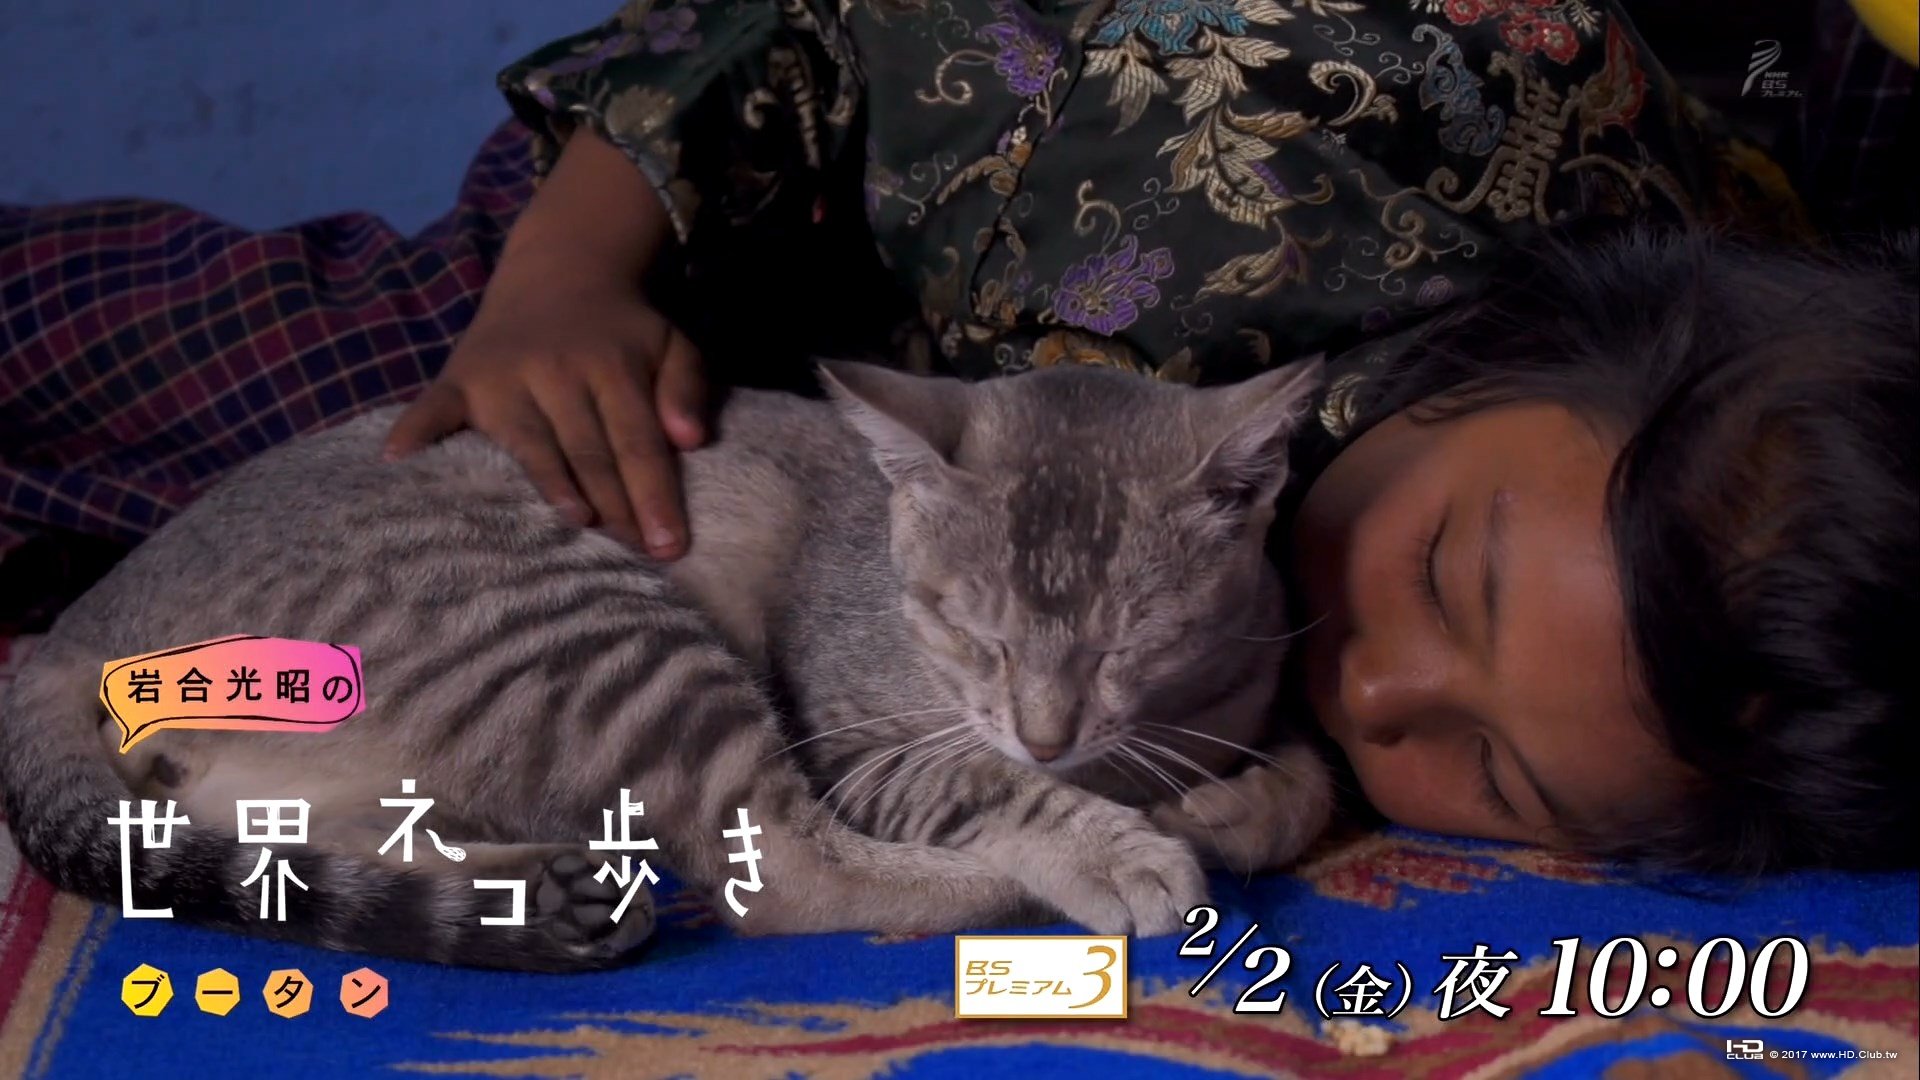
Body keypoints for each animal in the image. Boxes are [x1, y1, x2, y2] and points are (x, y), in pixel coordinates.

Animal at [0, 359, 1333, 971]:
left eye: (1129, 641)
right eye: (972, 632)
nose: (1048, 733)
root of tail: (71, 630)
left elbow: (1298, 771)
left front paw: (1232, 803)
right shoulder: (873, 741)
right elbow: (981, 786)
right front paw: (1123, 845)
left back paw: (546, 890)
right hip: (591, 623)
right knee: (778, 874)